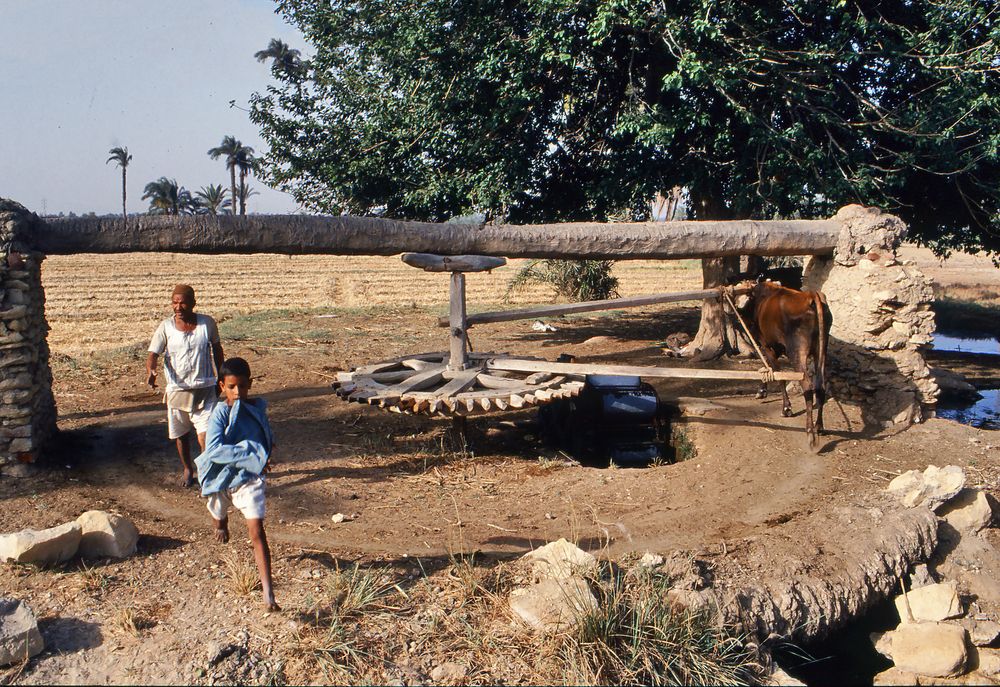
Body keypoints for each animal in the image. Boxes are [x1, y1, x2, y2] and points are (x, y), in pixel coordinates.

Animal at [740, 280, 832, 452]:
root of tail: (810, 295)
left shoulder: (767, 346)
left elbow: (778, 374)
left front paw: (786, 408)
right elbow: (769, 368)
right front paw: (762, 391)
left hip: (797, 352)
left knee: (808, 386)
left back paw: (810, 433)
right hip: (822, 350)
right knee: (821, 385)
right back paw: (819, 426)